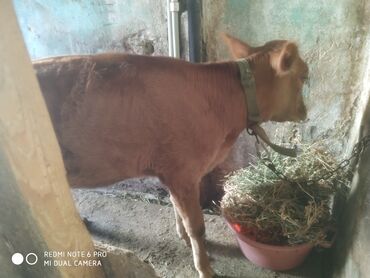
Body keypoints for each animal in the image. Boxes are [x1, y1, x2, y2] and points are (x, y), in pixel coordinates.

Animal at [33, 33, 308, 276]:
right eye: (304, 76)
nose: (305, 112)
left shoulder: (172, 171)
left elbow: (177, 208)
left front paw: (183, 238)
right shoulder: (183, 171)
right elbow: (197, 226)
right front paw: (204, 268)